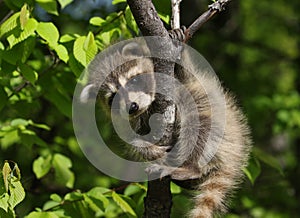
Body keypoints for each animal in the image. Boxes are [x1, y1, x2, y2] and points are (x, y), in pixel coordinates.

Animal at [79, 41, 251, 218]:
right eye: (113, 97)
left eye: (133, 81)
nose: (132, 107)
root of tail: (234, 159)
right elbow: (131, 140)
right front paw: (147, 149)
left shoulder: (183, 79)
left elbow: (187, 72)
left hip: (218, 126)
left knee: (196, 123)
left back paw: (191, 168)